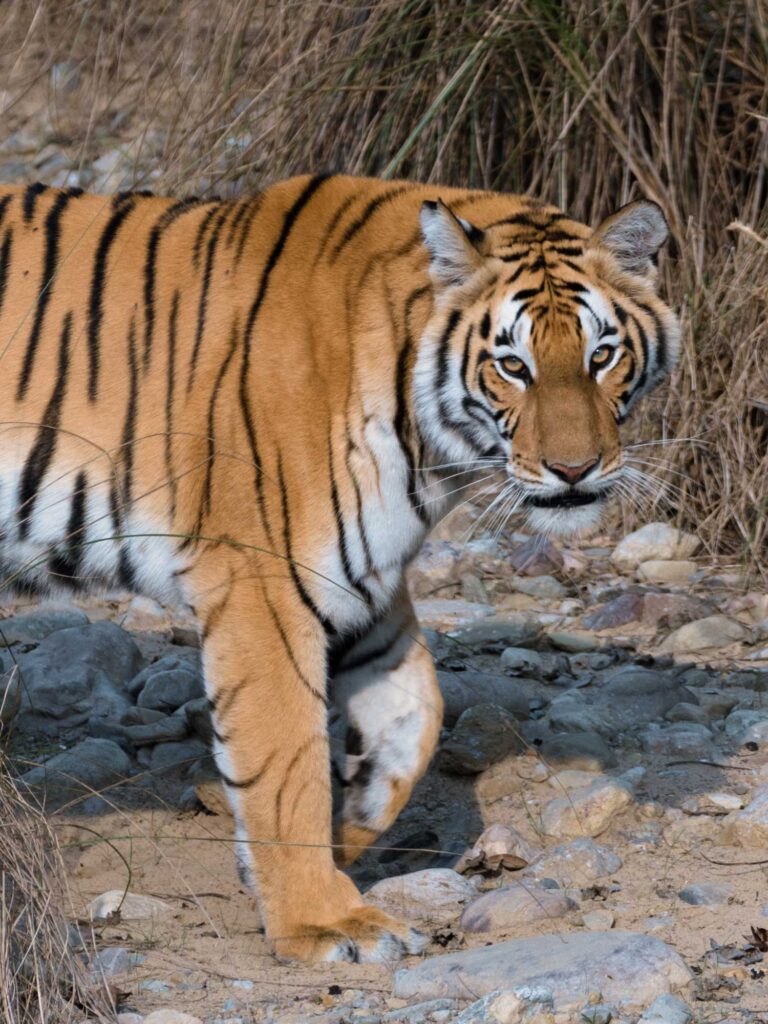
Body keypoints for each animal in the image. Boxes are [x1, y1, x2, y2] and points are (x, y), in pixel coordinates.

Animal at [0, 174, 679, 962]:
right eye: (513, 365)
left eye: (602, 355)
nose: (575, 471)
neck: (426, 449)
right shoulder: (263, 581)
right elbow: (283, 758)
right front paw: (321, 920)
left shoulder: (361, 579)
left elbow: (418, 711)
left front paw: (348, 828)